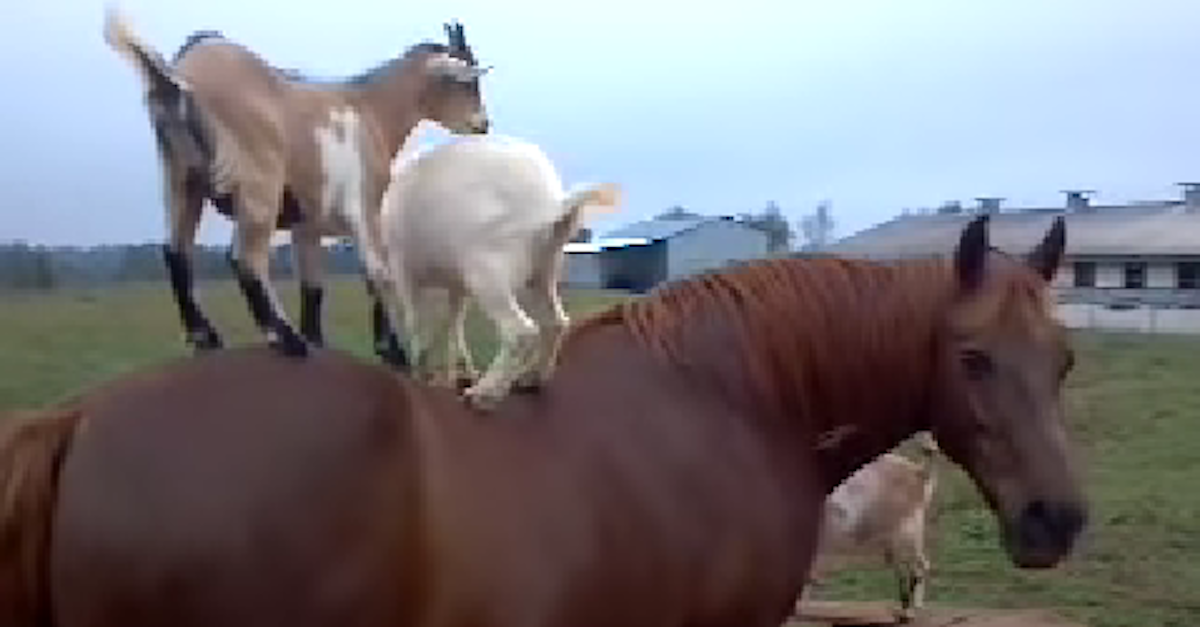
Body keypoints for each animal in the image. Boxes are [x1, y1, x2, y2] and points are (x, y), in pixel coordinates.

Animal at [104, 6, 492, 365]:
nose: (482, 124)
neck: (367, 108)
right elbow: (377, 274)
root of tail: (178, 75)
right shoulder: (364, 208)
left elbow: (313, 286)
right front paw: (393, 352)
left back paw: (207, 337)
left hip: (182, 179)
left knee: (175, 251)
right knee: (245, 257)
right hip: (258, 185)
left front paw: (319, 340)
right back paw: (286, 339)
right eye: (465, 81)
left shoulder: (307, 224)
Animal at [376, 133, 624, 408]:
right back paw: (531, 378)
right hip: (543, 270)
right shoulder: (456, 283)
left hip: (487, 269)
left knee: (520, 331)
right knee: (556, 322)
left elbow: (415, 323)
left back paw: (484, 392)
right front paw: (454, 373)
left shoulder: (402, 267)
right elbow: (454, 325)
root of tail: (549, 202)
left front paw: (421, 372)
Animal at [806, 430, 936, 619]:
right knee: (916, 565)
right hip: (907, 533)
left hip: (903, 532)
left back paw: (908, 611)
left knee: (916, 567)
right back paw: (913, 608)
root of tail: (919, 473)